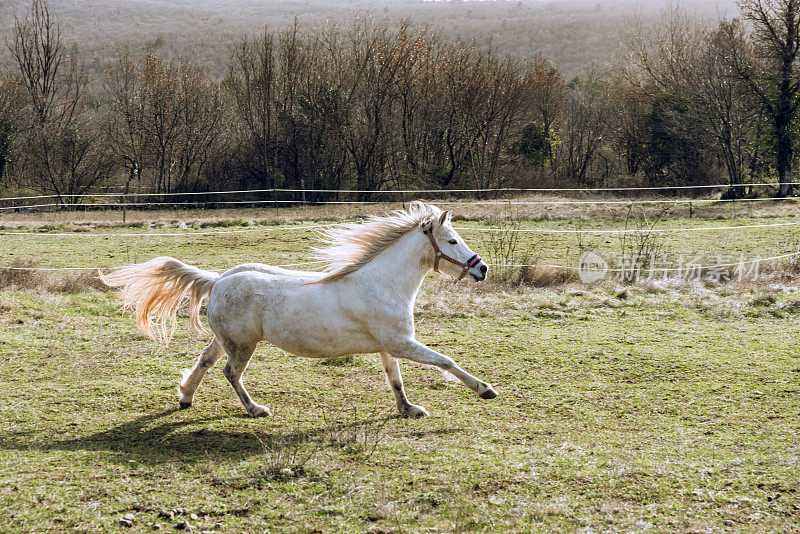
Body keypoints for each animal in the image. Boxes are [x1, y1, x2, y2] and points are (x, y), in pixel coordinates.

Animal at [101, 201, 494, 418]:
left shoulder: (389, 345)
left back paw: (185, 397)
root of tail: (217, 280)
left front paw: (408, 410)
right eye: (452, 240)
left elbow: (395, 379)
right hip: (243, 346)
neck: (382, 284)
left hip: (225, 340)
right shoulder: (400, 342)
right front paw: (485, 389)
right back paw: (255, 410)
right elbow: (446, 361)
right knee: (230, 373)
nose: (482, 269)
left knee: (205, 361)